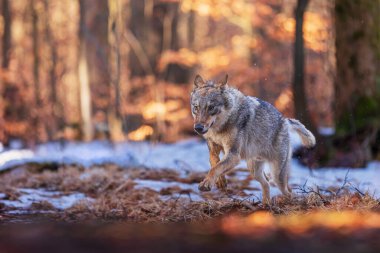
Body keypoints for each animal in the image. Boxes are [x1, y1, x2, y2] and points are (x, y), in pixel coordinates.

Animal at [190, 74, 314, 205]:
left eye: (211, 107)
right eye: (196, 107)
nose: (198, 128)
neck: (219, 129)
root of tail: (285, 120)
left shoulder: (233, 155)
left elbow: (216, 168)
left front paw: (206, 183)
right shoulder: (213, 149)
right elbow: (214, 163)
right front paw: (220, 181)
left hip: (276, 175)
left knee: (289, 192)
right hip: (254, 170)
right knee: (266, 184)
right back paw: (266, 205)